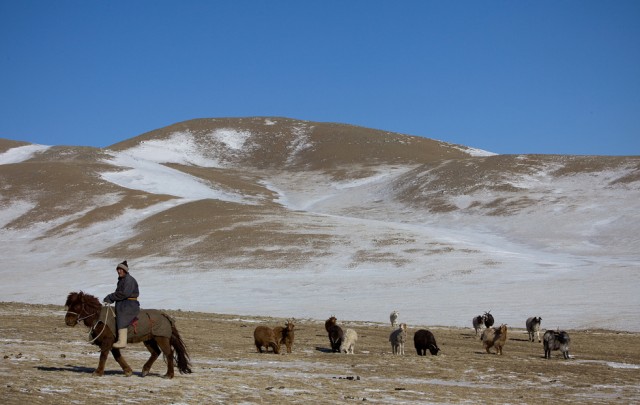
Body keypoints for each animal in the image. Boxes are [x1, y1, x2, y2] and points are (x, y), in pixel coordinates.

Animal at [63, 290, 191, 376]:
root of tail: (165, 316)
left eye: (77, 306)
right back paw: (145, 370)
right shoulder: (113, 342)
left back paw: (169, 374)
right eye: (69, 305)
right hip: (148, 340)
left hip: (161, 338)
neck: (99, 318)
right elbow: (117, 356)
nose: (68, 321)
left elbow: (103, 356)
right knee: (156, 352)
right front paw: (128, 371)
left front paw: (98, 372)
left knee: (168, 353)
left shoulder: (107, 341)